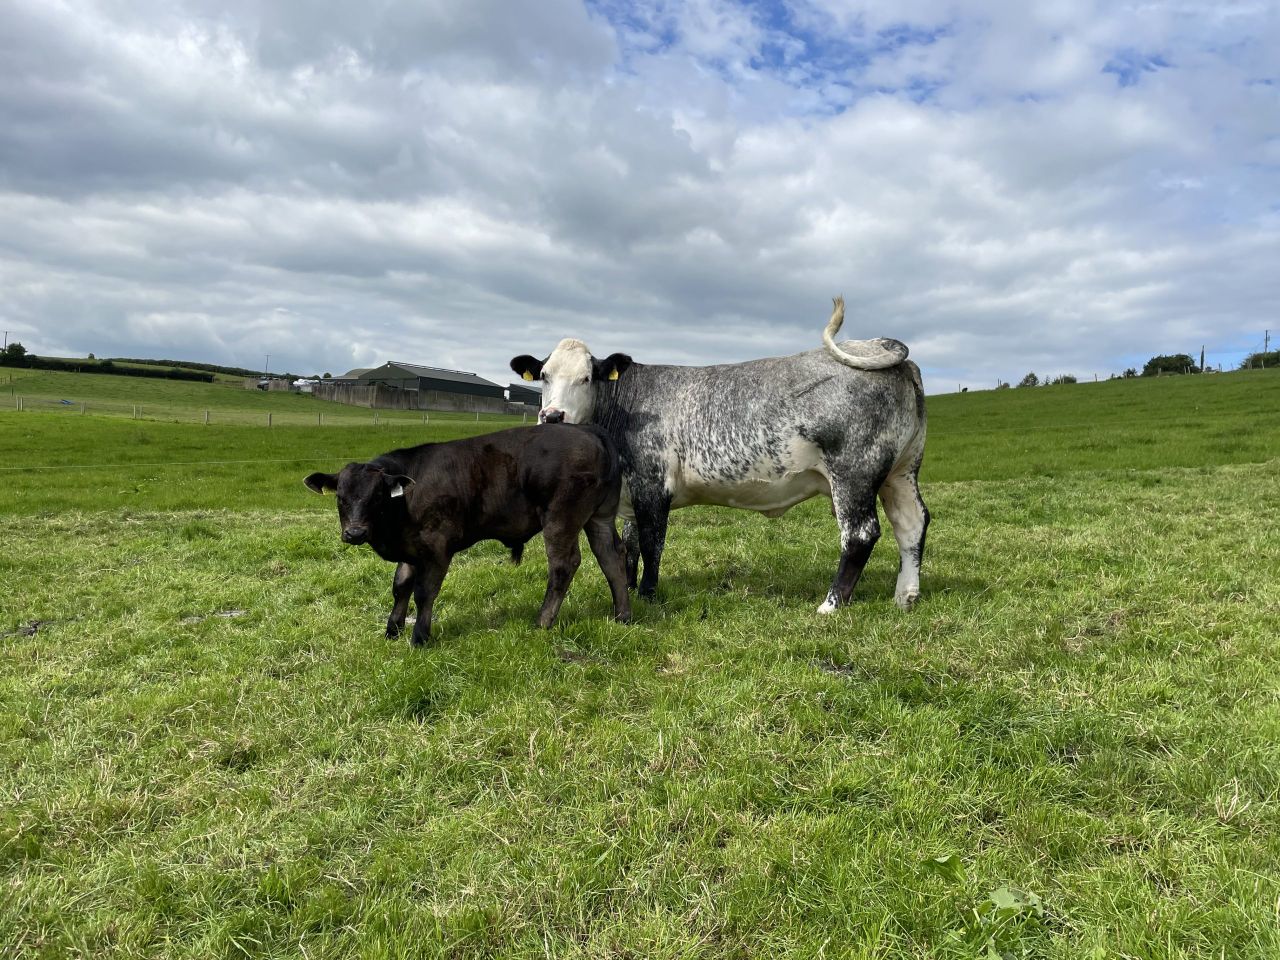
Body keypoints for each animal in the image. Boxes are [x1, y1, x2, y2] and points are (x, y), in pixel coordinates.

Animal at [303, 424, 631, 646]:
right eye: (340, 497)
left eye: (377, 497)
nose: (355, 532)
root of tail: (588, 430)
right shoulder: (411, 548)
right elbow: (400, 587)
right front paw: (392, 630)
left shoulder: (437, 546)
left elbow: (424, 592)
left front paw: (419, 637)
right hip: (600, 517)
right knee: (612, 556)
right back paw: (622, 616)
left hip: (561, 519)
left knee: (564, 565)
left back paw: (542, 621)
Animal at [510, 297, 929, 614]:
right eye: (544, 375)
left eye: (586, 378)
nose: (552, 416)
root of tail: (880, 349)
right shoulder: (630, 493)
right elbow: (629, 547)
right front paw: (627, 587)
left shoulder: (652, 486)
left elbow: (652, 543)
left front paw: (647, 596)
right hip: (900, 472)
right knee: (912, 522)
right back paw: (904, 597)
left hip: (853, 472)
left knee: (860, 533)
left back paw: (831, 604)